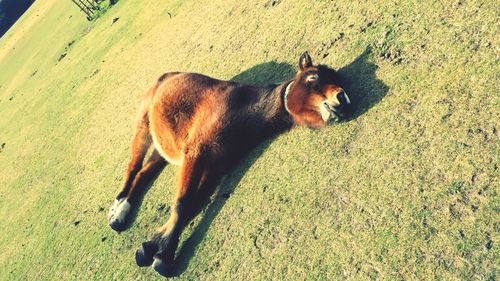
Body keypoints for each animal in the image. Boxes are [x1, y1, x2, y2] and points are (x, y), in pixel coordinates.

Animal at [107, 51, 350, 274]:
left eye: (339, 81)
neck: (245, 110)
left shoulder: (215, 168)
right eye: (313, 77)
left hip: (162, 146)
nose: (342, 97)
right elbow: (182, 203)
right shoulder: (197, 151)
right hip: (143, 123)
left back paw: (122, 212)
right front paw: (163, 254)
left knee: (144, 173)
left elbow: (193, 206)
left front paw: (153, 246)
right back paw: (117, 208)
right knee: (133, 166)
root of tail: (167, 75)